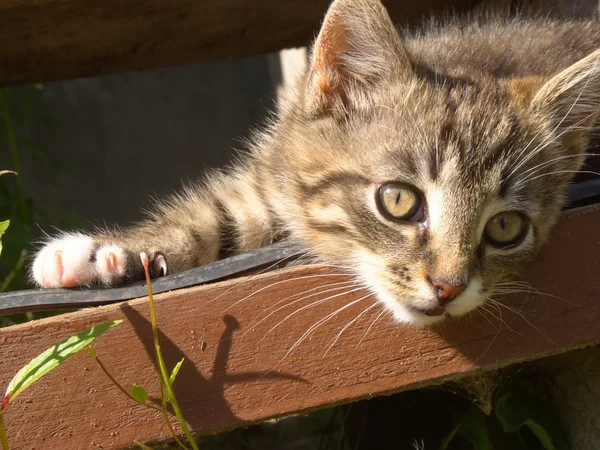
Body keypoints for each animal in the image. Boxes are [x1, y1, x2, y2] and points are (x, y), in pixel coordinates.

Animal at [31, 0, 600, 326]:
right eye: (398, 200)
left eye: (506, 227)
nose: (448, 288)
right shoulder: (271, 174)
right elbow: (214, 218)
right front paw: (103, 254)